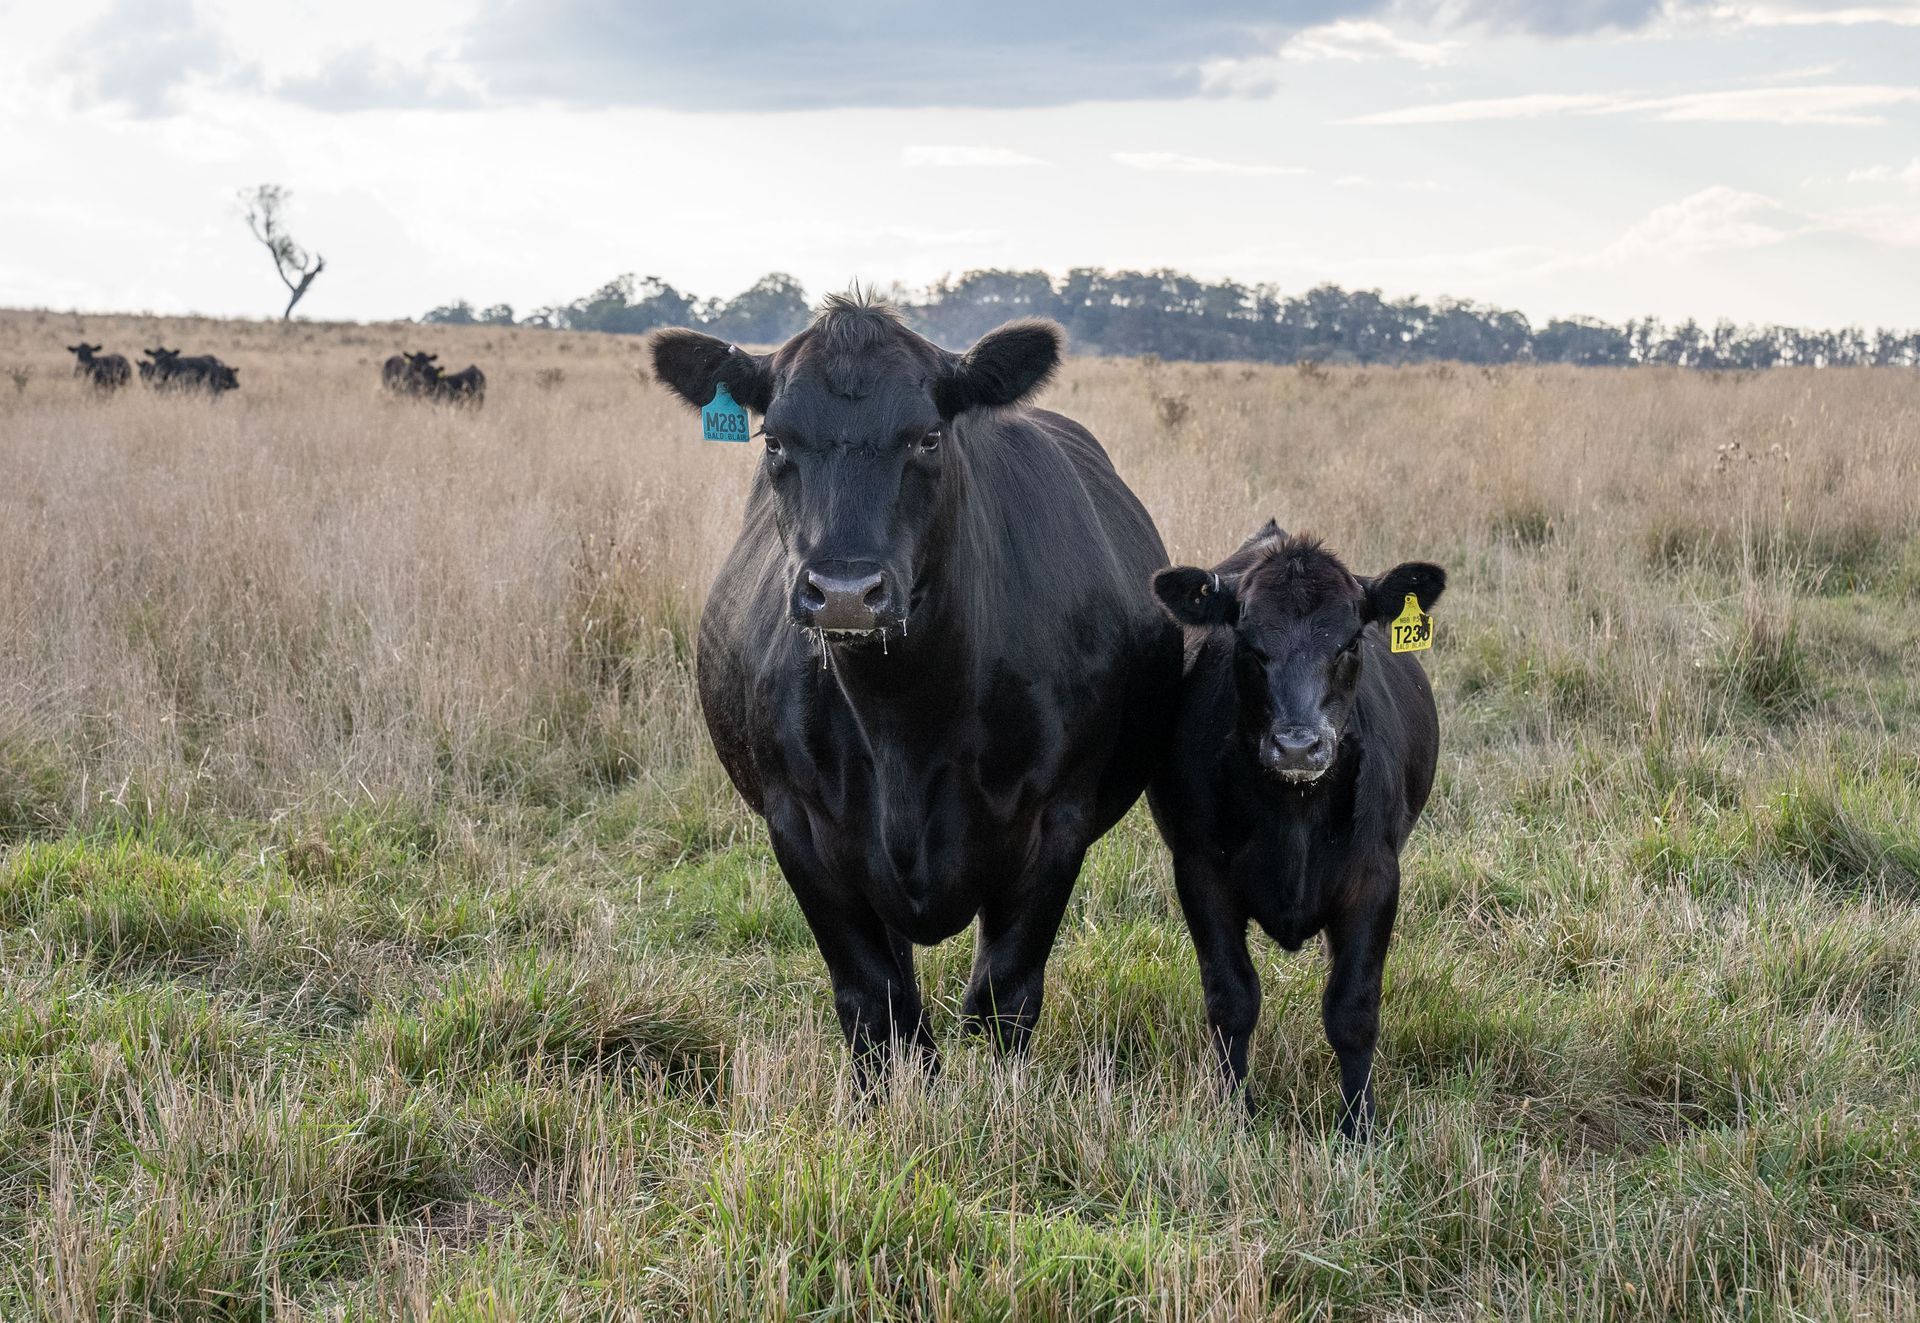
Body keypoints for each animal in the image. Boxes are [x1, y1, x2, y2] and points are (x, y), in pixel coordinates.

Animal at [650, 292, 1182, 1084]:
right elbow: (876, 1004)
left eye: (928, 437)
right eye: (773, 440)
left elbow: (1003, 996)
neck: (905, 717)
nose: (844, 592)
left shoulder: (1058, 819)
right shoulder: (798, 827)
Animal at [1148, 524, 1445, 1140]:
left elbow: (1352, 1009)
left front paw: (1359, 1128)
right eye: (1247, 643)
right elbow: (1232, 1000)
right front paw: (1235, 1114)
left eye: (1351, 641)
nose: (1298, 746)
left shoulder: (1375, 879)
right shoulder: (1199, 873)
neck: (1294, 813)